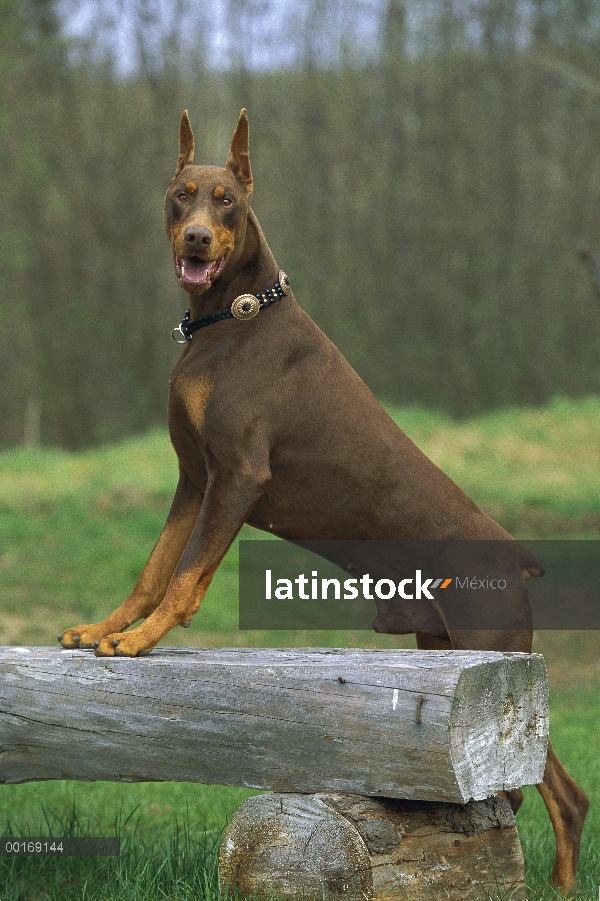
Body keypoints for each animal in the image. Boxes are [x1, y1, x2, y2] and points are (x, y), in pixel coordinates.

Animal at [58, 110, 588, 884]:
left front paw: (141, 639)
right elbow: (153, 569)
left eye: (226, 202)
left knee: (560, 791)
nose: (196, 238)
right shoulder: (193, 478)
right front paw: (107, 626)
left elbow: (185, 578)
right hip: (449, 651)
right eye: (182, 196)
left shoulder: (237, 477)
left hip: (495, 655)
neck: (232, 315)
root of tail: (515, 554)